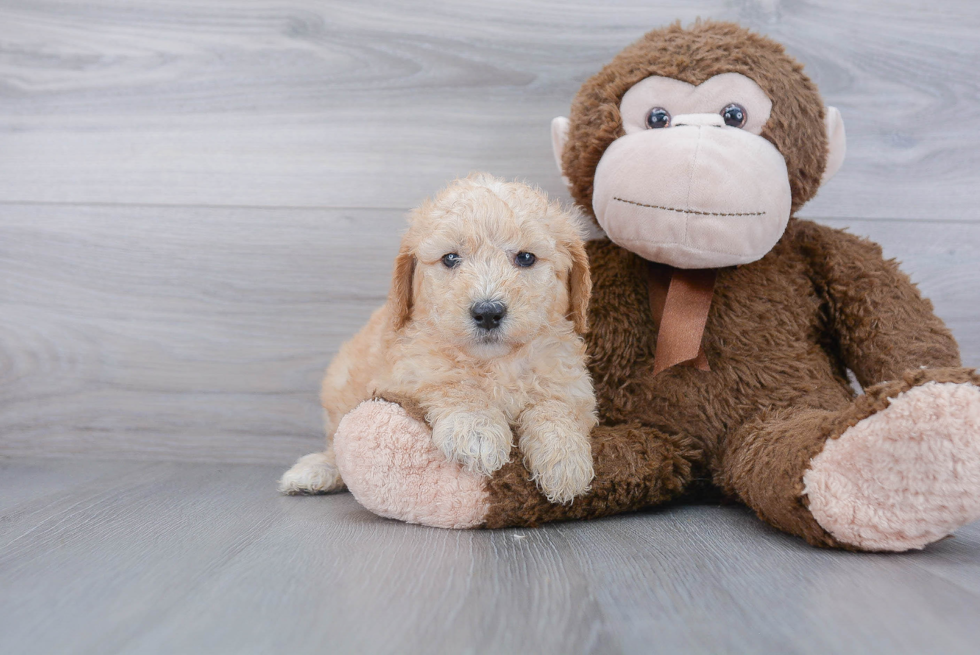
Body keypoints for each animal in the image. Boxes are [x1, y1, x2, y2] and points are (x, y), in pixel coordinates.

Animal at [278, 173, 596, 502]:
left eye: (526, 257)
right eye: (451, 258)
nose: (488, 312)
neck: (496, 362)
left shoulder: (570, 382)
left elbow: (557, 407)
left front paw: (565, 459)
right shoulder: (407, 373)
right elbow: (452, 384)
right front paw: (477, 431)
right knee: (336, 443)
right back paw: (316, 470)